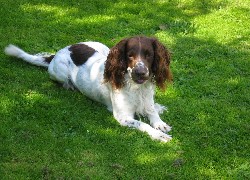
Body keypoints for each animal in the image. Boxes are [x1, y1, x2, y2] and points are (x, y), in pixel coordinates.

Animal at [4, 35, 172, 142]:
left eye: (149, 55)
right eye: (130, 56)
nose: (140, 72)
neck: (137, 88)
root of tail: (58, 52)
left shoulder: (147, 99)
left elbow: (152, 112)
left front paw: (160, 121)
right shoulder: (123, 116)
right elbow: (142, 124)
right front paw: (159, 136)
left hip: (104, 47)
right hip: (60, 72)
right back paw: (70, 86)